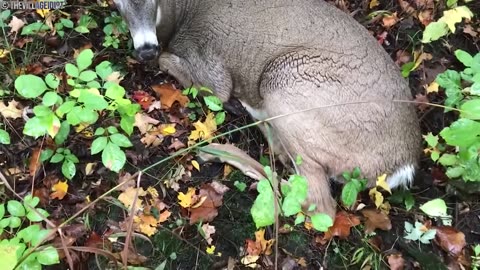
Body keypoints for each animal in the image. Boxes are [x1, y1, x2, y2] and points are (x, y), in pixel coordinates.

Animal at [112, 0, 420, 219]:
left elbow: (175, 65)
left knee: (316, 202)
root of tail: (401, 165)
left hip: (286, 79)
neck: (179, 17)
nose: (146, 48)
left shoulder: (211, 67)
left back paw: (219, 148)